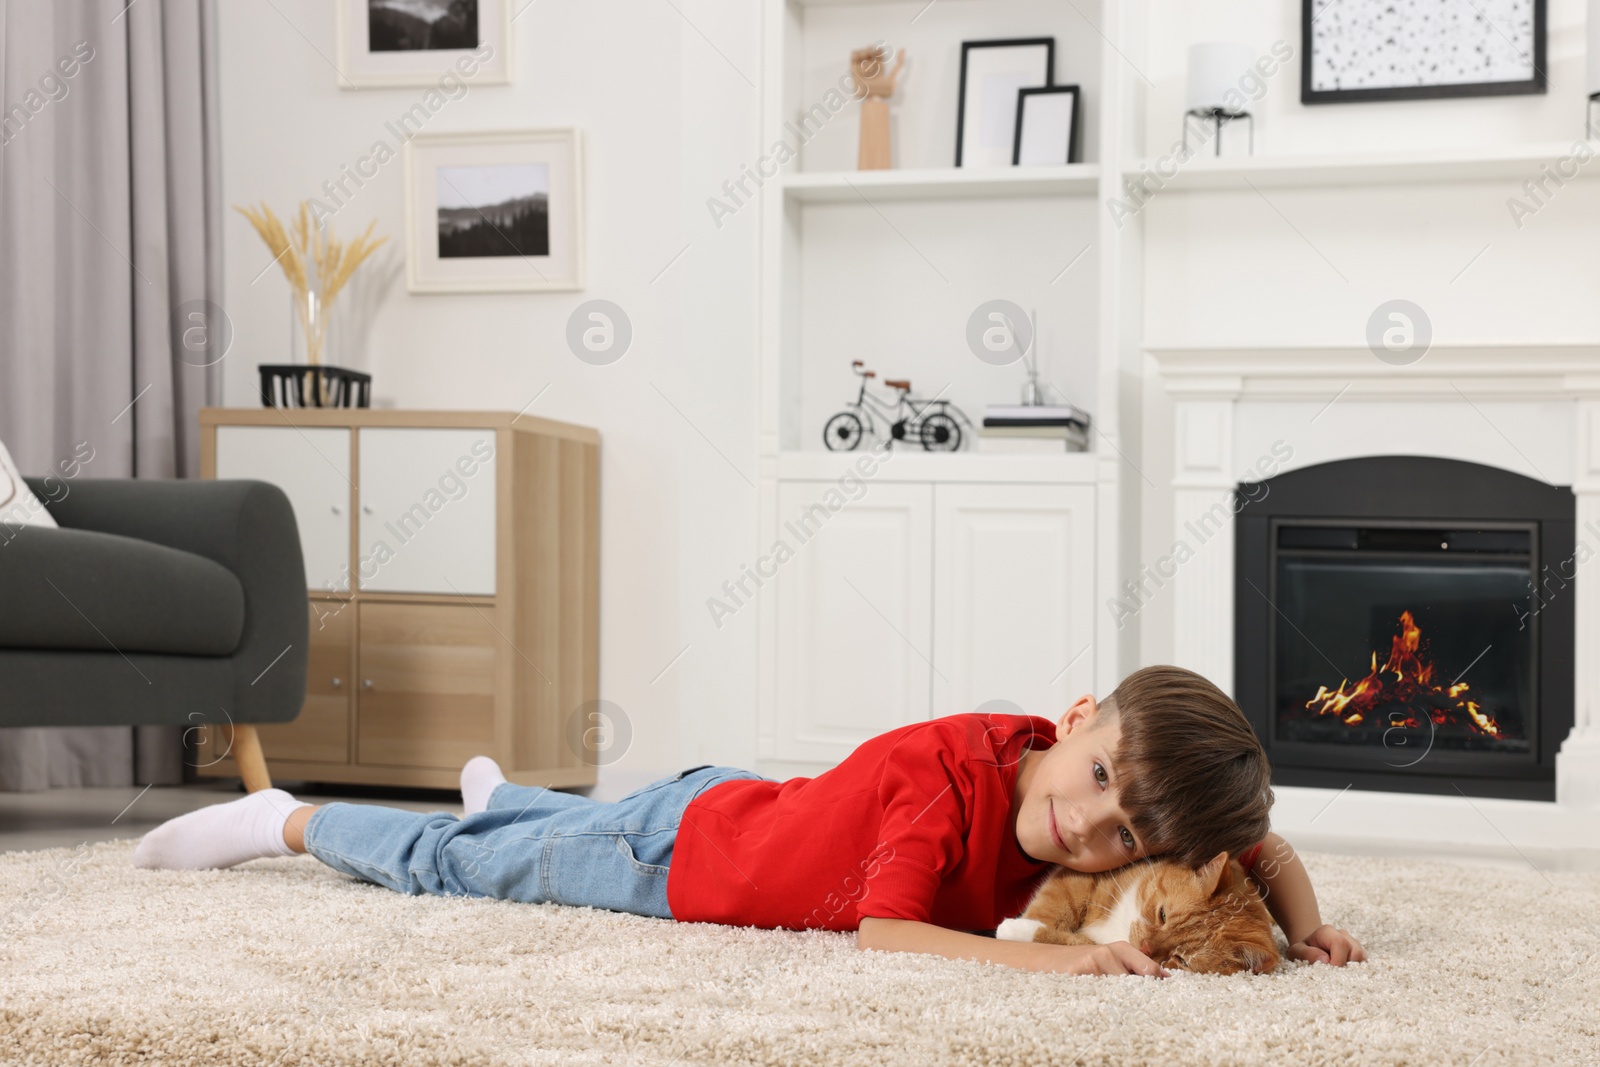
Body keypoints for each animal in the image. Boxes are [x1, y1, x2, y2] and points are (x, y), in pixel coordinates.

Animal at [992, 851, 1280, 979]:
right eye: (1162, 915)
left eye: (1181, 959)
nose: (1144, 948)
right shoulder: (1078, 877)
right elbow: (1057, 905)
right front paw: (1019, 925)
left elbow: (1079, 942)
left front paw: (1017, 930)